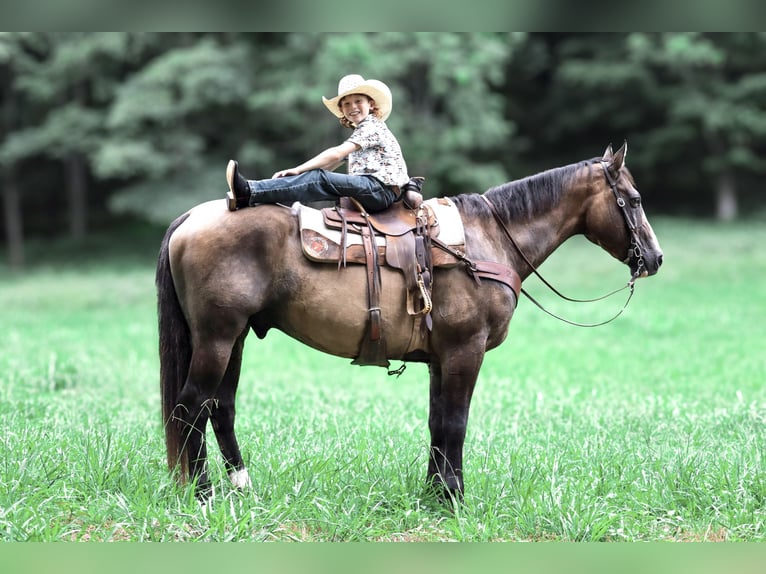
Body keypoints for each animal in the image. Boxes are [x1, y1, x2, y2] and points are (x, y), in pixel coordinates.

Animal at [158, 143, 664, 500]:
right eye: (635, 199)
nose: (655, 258)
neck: (486, 242)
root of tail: (192, 217)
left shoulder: (442, 358)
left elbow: (438, 423)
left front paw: (434, 494)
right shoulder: (465, 351)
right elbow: (456, 423)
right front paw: (454, 499)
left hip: (236, 337)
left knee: (219, 407)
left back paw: (240, 485)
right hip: (218, 337)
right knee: (190, 406)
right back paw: (201, 493)